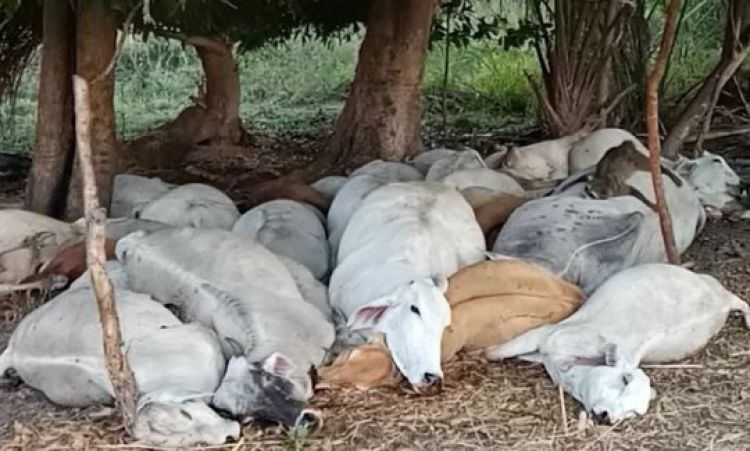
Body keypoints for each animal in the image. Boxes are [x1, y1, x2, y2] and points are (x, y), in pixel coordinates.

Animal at [486, 264, 750, 424]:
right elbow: (499, 351)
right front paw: (485, 352)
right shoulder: (549, 335)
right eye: (625, 380)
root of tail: (720, 302)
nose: (607, 416)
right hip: (714, 283)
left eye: (633, 412)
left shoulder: (548, 341)